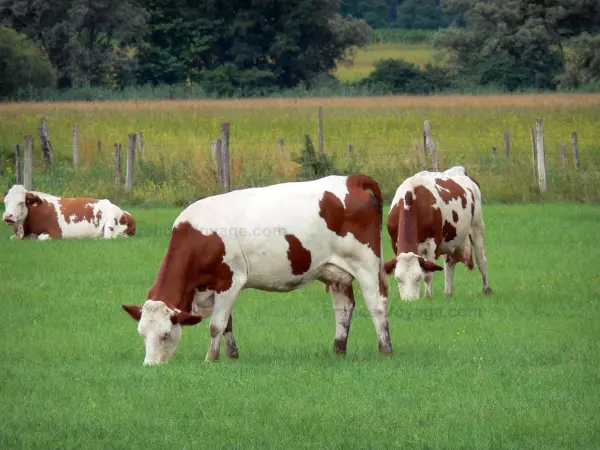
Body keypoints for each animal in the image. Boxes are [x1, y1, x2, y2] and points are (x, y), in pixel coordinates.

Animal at [1, 185, 135, 241]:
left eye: (21, 202)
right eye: (5, 202)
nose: (7, 216)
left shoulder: (55, 234)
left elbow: (40, 238)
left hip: (110, 222)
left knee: (108, 237)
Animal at [122, 174, 394, 364]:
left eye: (166, 334)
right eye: (142, 333)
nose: (150, 365)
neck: (200, 236)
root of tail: (352, 179)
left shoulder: (230, 280)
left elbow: (216, 324)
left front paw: (210, 358)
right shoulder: (216, 288)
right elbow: (227, 323)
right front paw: (231, 355)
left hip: (366, 264)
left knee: (377, 305)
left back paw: (385, 349)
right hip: (335, 272)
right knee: (343, 309)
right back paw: (338, 350)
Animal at [384, 167, 492, 300]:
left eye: (417, 278)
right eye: (398, 279)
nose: (409, 301)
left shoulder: (432, 243)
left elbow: (428, 275)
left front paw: (427, 297)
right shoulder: (395, 243)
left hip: (477, 227)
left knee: (481, 260)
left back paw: (487, 289)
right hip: (450, 240)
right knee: (449, 264)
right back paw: (448, 293)